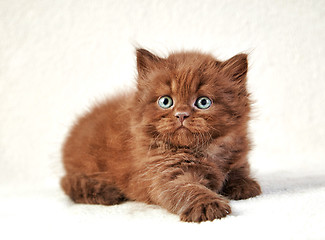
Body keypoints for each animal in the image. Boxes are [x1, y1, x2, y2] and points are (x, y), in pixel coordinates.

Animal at [60, 48, 260, 223]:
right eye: (165, 101)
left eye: (203, 102)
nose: (181, 115)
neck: (206, 150)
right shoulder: (166, 174)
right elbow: (189, 188)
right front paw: (208, 206)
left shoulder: (238, 157)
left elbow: (239, 172)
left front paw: (244, 185)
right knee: (67, 182)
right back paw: (106, 192)